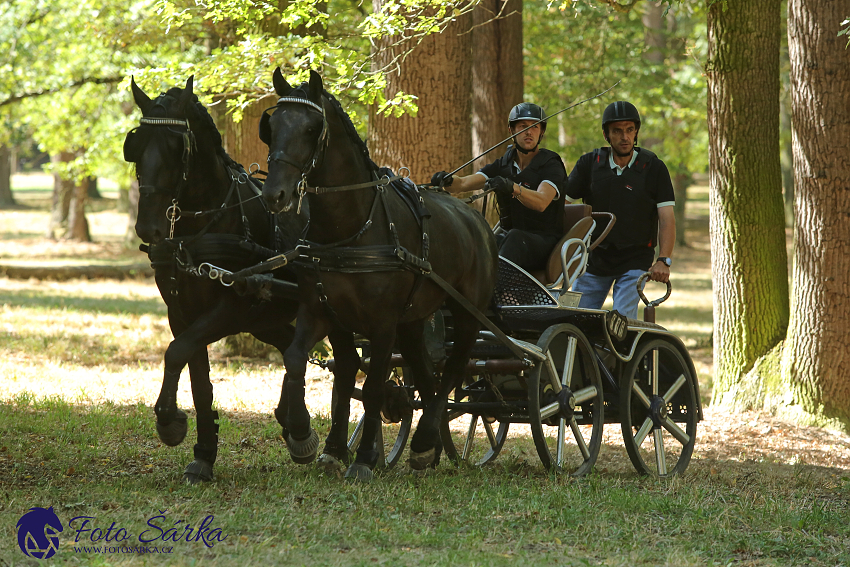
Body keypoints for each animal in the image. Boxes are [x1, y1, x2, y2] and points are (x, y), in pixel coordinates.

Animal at [126, 75, 362, 484]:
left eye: (176, 148)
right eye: (136, 146)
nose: (148, 228)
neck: (202, 227)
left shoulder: (230, 309)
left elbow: (176, 352)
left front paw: (170, 423)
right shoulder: (181, 313)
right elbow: (196, 377)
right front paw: (203, 453)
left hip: (327, 310)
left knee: (346, 362)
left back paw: (330, 446)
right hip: (267, 317)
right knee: (292, 349)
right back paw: (294, 425)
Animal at [260, 69, 496, 482]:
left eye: (311, 128)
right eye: (271, 127)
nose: (275, 195)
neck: (350, 229)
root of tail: (476, 219)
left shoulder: (383, 323)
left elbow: (371, 387)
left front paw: (365, 457)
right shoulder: (322, 312)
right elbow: (302, 361)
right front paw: (310, 439)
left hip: (467, 315)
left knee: (453, 371)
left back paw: (425, 440)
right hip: (414, 322)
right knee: (429, 378)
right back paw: (427, 447)